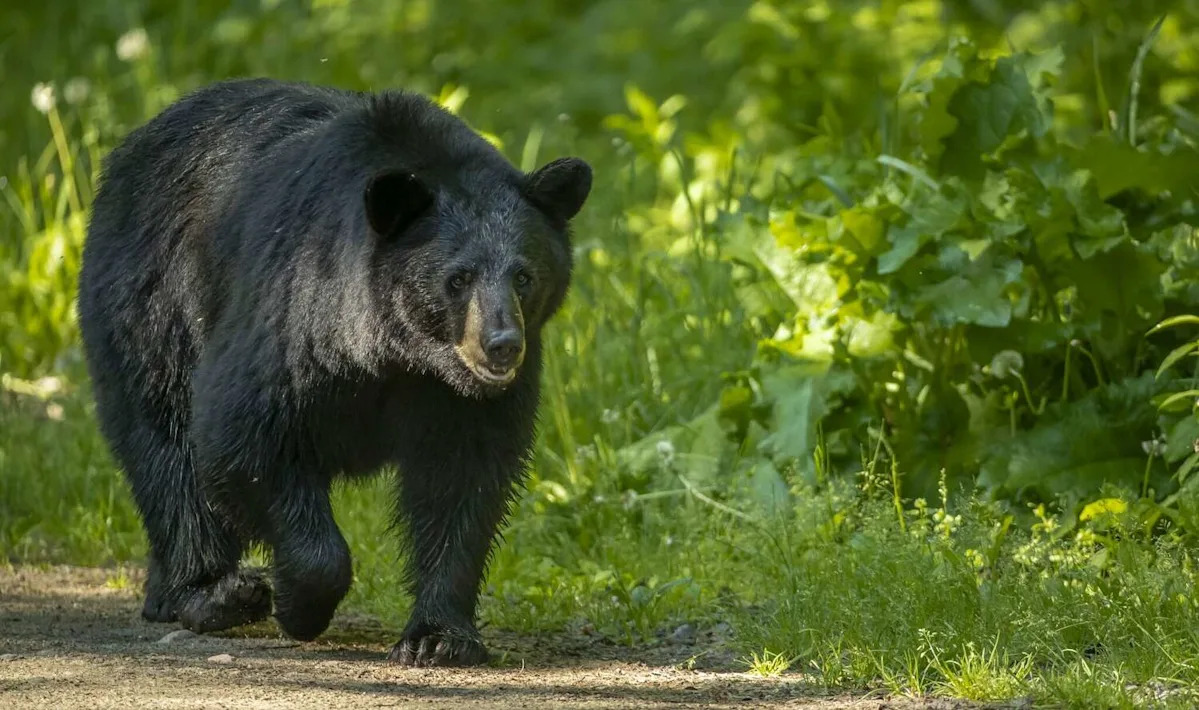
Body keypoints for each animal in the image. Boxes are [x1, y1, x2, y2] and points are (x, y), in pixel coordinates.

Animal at [76, 78, 591, 666]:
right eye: (458, 279)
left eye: (524, 276)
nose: (502, 346)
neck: (398, 352)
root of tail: (132, 145)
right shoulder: (297, 314)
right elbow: (243, 432)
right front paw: (299, 605)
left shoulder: (460, 399)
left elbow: (463, 478)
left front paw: (439, 637)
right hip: (150, 304)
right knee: (166, 446)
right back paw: (213, 594)